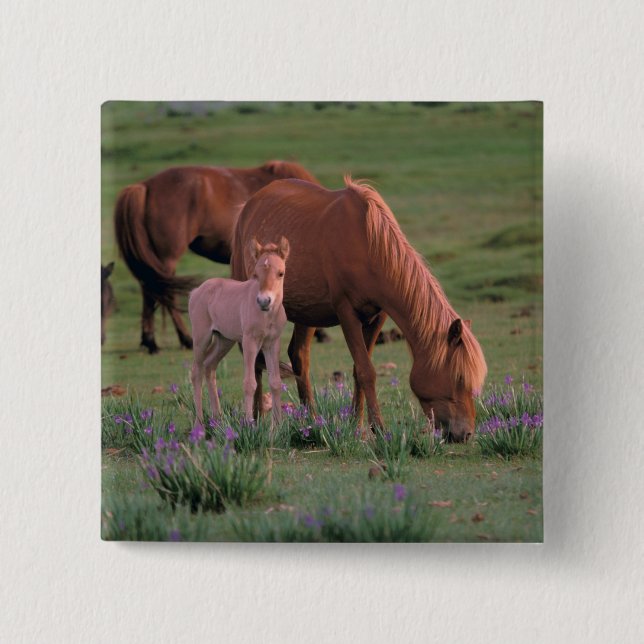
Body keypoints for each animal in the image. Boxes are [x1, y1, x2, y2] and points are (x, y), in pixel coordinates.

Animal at [114, 160, 321, 354]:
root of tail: (144, 186)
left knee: (150, 290)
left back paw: (150, 341)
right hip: (166, 259)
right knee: (164, 294)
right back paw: (184, 339)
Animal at [189, 238, 290, 426]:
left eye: (281, 273)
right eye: (256, 274)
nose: (264, 301)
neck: (267, 315)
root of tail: (196, 291)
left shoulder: (272, 343)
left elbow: (275, 382)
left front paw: (278, 427)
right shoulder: (250, 341)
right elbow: (250, 383)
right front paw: (249, 424)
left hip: (224, 340)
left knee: (209, 366)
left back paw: (218, 420)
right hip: (201, 338)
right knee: (196, 371)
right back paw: (199, 423)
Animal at [230, 177, 487, 442]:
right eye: (459, 378)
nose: (466, 433)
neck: (368, 246)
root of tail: (249, 207)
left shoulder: (378, 315)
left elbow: (357, 370)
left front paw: (357, 424)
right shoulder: (347, 313)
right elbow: (366, 371)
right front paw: (379, 428)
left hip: (307, 314)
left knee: (298, 357)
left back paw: (311, 420)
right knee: (254, 360)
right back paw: (256, 419)